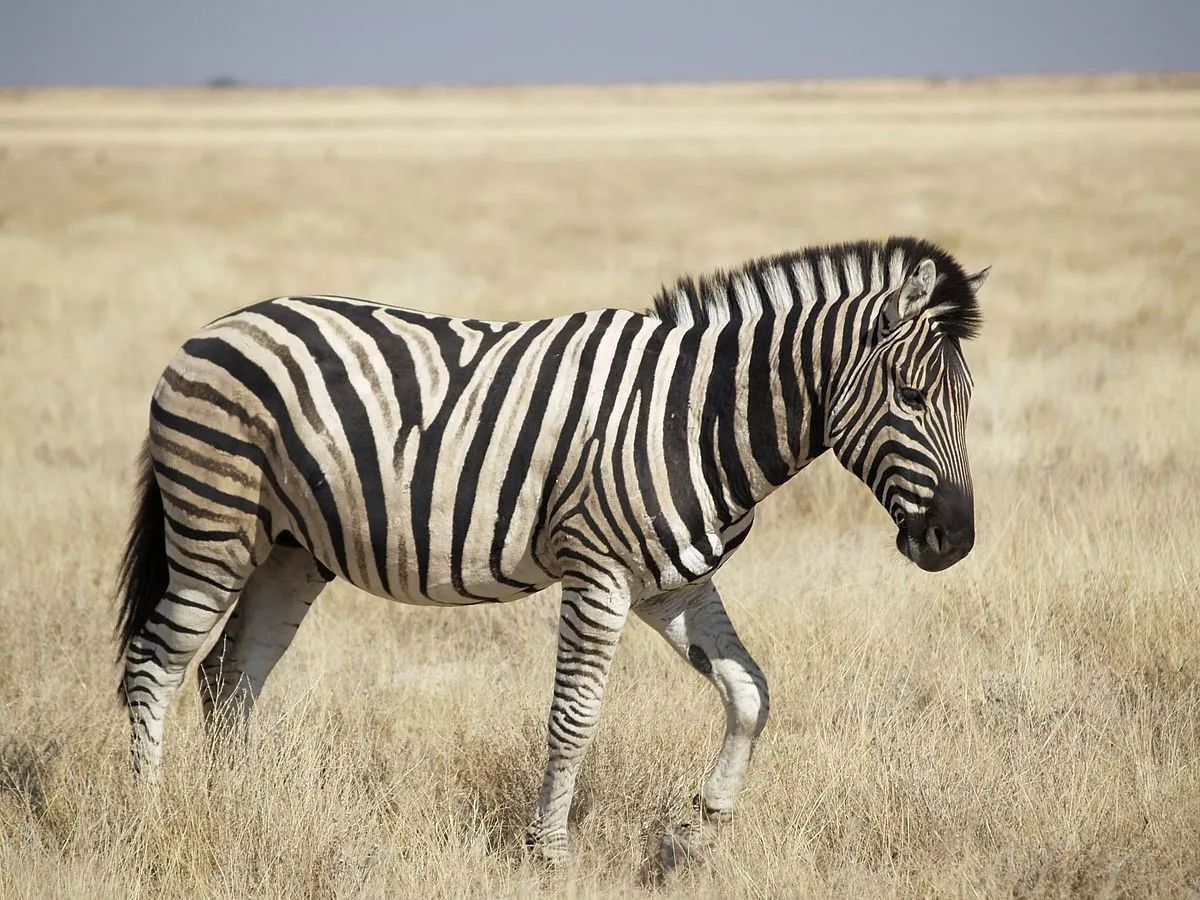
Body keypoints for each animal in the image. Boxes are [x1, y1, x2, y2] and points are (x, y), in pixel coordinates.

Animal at [117, 236, 988, 864]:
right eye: (912, 398)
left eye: (968, 403)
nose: (956, 542)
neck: (698, 417)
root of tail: (217, 326)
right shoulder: (597, 571)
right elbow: (574, 718)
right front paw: (550, 853)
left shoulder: (672, 583)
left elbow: (750, 692)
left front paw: (703, 827)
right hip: (214, 527)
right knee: (155, 664)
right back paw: (151, 822)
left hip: (290, 549)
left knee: (231, 675)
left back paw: (236, 808)